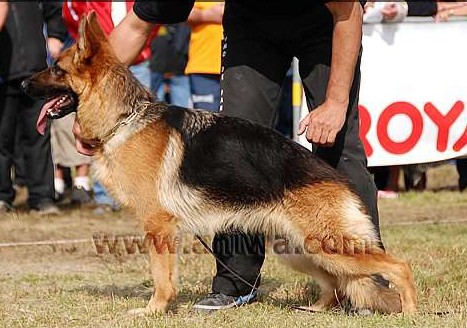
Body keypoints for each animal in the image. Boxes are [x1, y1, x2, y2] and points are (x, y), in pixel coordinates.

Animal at [22, 13, 416, 316]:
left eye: (56, 69)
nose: (22, 83)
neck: (124, 118)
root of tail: (334, 177)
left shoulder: (159, 227)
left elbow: (161, 279)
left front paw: (153, 311)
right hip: (299, 249)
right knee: (335, 283)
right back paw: (315, 310)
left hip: (328, 245)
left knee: (398, 266)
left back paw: (409, 312)